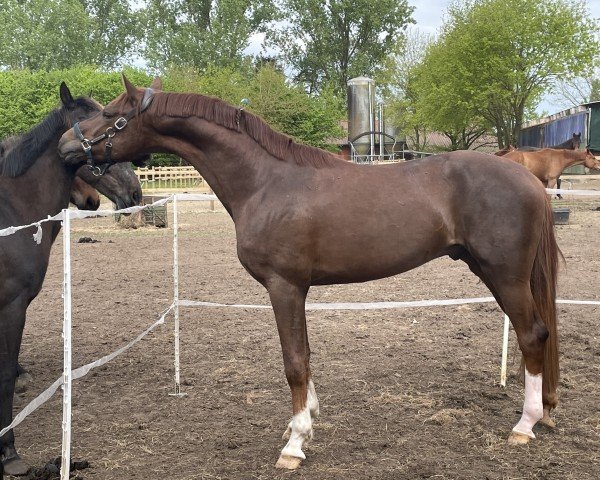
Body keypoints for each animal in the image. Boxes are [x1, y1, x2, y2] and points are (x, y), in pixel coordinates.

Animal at [0, 83, 143, 476]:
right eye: (96, 126)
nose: (135, 193)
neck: (12, 211)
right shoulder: (12, 306)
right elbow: (5, 375)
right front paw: (9, 452)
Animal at [61, 77, 564, 470]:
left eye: (110, 114)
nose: (66, 145)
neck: (265, 182)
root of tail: (529, 181)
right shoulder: (296, 289)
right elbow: (304, 355)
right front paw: (306, 422)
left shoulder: (284, 287)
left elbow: (294, 363)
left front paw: (296, 442)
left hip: (506, 276)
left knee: (532, 335)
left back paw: (525, 424)